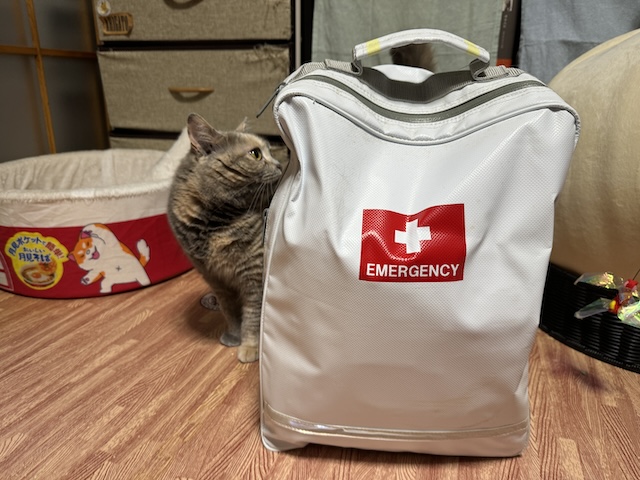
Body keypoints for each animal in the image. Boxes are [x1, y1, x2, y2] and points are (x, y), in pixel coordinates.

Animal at [167, 113, 283, 363]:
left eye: (270, 150)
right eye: (255, 154)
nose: (280, 164)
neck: (215, 224)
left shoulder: (254, 277)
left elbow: (252, 316)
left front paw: (249, 348)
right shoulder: (215, 279)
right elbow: (230, 312)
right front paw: (233, 336)